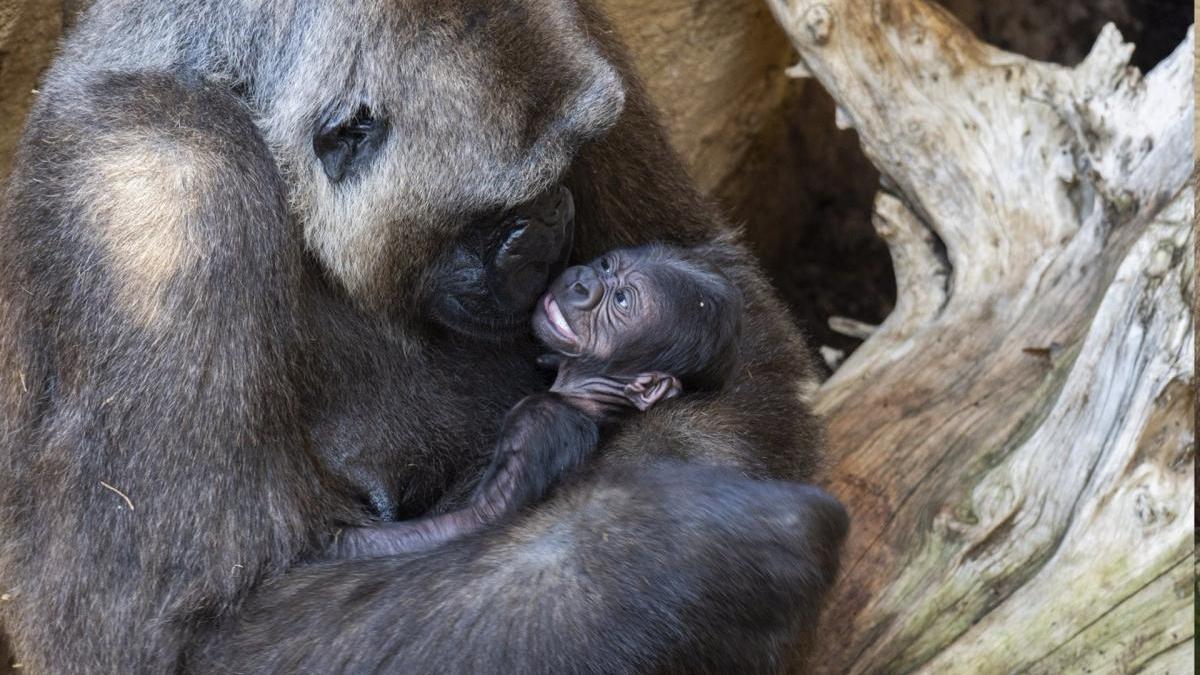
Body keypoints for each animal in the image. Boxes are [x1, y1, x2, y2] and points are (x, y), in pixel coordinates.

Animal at [328, 242, 739, 557]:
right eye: (607, 265)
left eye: (622, 301)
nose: (584, 282)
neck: (588, 394)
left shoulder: (539, 421)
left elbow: (481, 519)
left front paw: (339, 544)